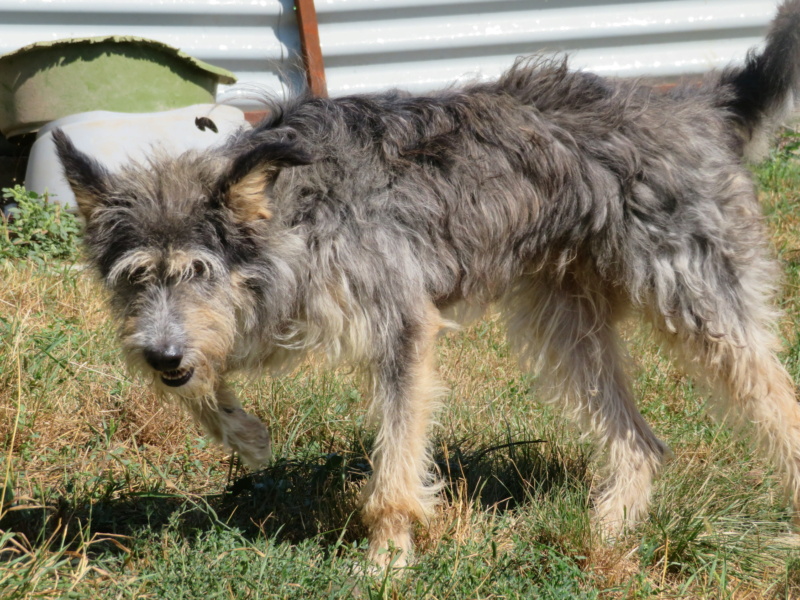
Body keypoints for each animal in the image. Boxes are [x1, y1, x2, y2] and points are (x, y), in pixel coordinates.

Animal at [54, 0, 800, 564]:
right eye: (134, 279)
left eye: (199, 271)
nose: (160, 357)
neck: (294, 215)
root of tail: (696, 106)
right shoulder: (236, 325)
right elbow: (203, 385)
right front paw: (248, 437)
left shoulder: (401, 324)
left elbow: (394, 465)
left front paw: (385, 561)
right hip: (566, 323)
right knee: (640, 442)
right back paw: (605, 533)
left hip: (702, 301)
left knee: (778, 407)